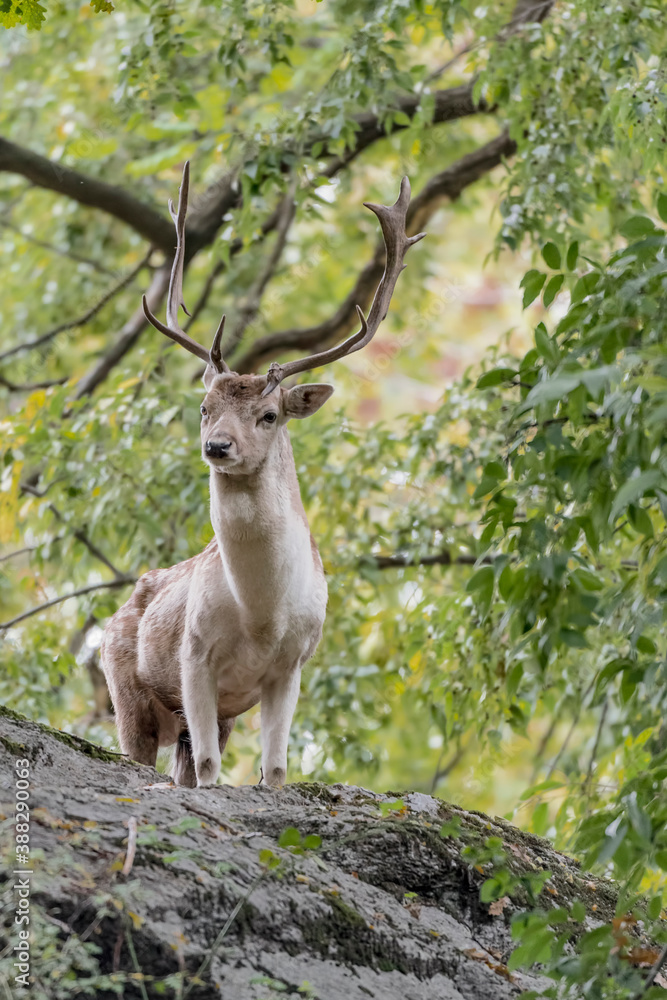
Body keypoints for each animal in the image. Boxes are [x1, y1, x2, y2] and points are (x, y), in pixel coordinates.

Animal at [100, 163, 425, 788]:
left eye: (269, 415)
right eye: (205, 407)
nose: (217, 446)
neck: (261, 618)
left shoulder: (292, 664)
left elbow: (273, 770)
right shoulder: (193, 655)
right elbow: (209, 768)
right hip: (125, 686)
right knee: (146, 753)